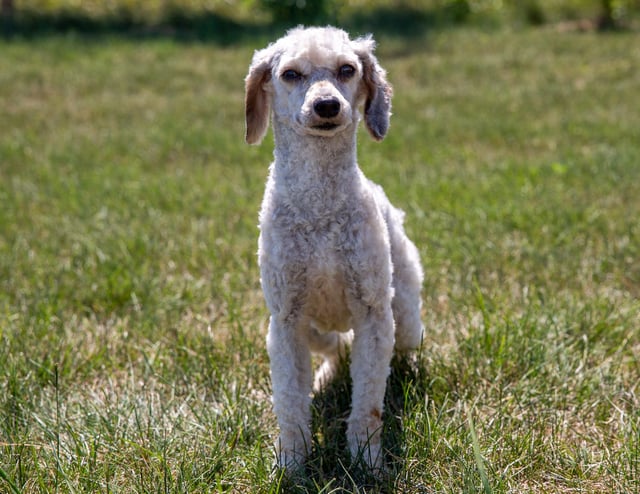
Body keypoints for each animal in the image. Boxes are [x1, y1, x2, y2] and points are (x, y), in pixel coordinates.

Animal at [245, 26, 424, 470]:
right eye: (290, 74)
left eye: (347, 69)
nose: (326, 105)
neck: (320, 209)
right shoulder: (285, 321)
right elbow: (290, 401)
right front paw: (291, 463)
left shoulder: (374, 314)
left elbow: (369, 402)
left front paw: (367, 459)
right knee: (332, 346)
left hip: (405, 314)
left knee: (403, 345)